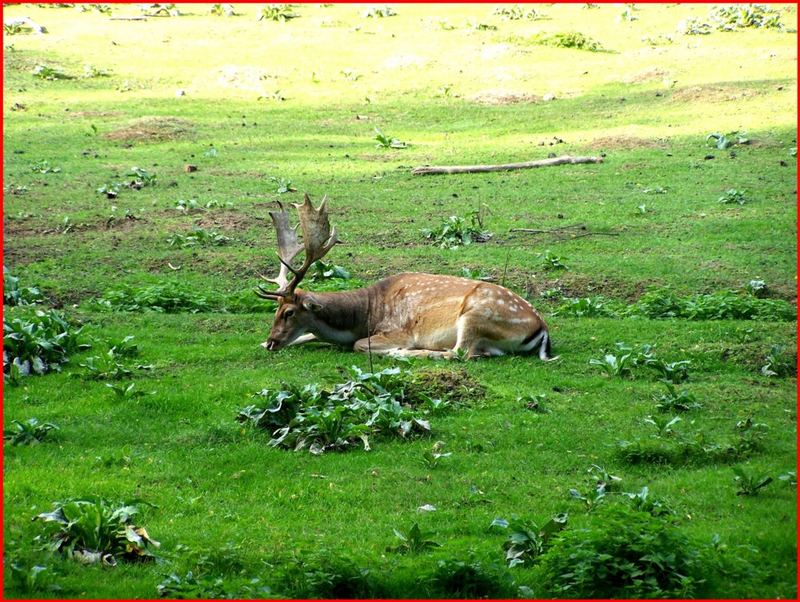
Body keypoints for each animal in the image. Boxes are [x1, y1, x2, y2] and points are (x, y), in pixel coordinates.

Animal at [260, 195, 552, 358]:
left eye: (289, 312)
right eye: (275, 311)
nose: (272, 342)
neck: (366, 315)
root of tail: (543, 329)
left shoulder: (397, 331)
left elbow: (358, 344)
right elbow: (307, 337)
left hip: (476, 316)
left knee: (459, 354)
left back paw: (404, 353)